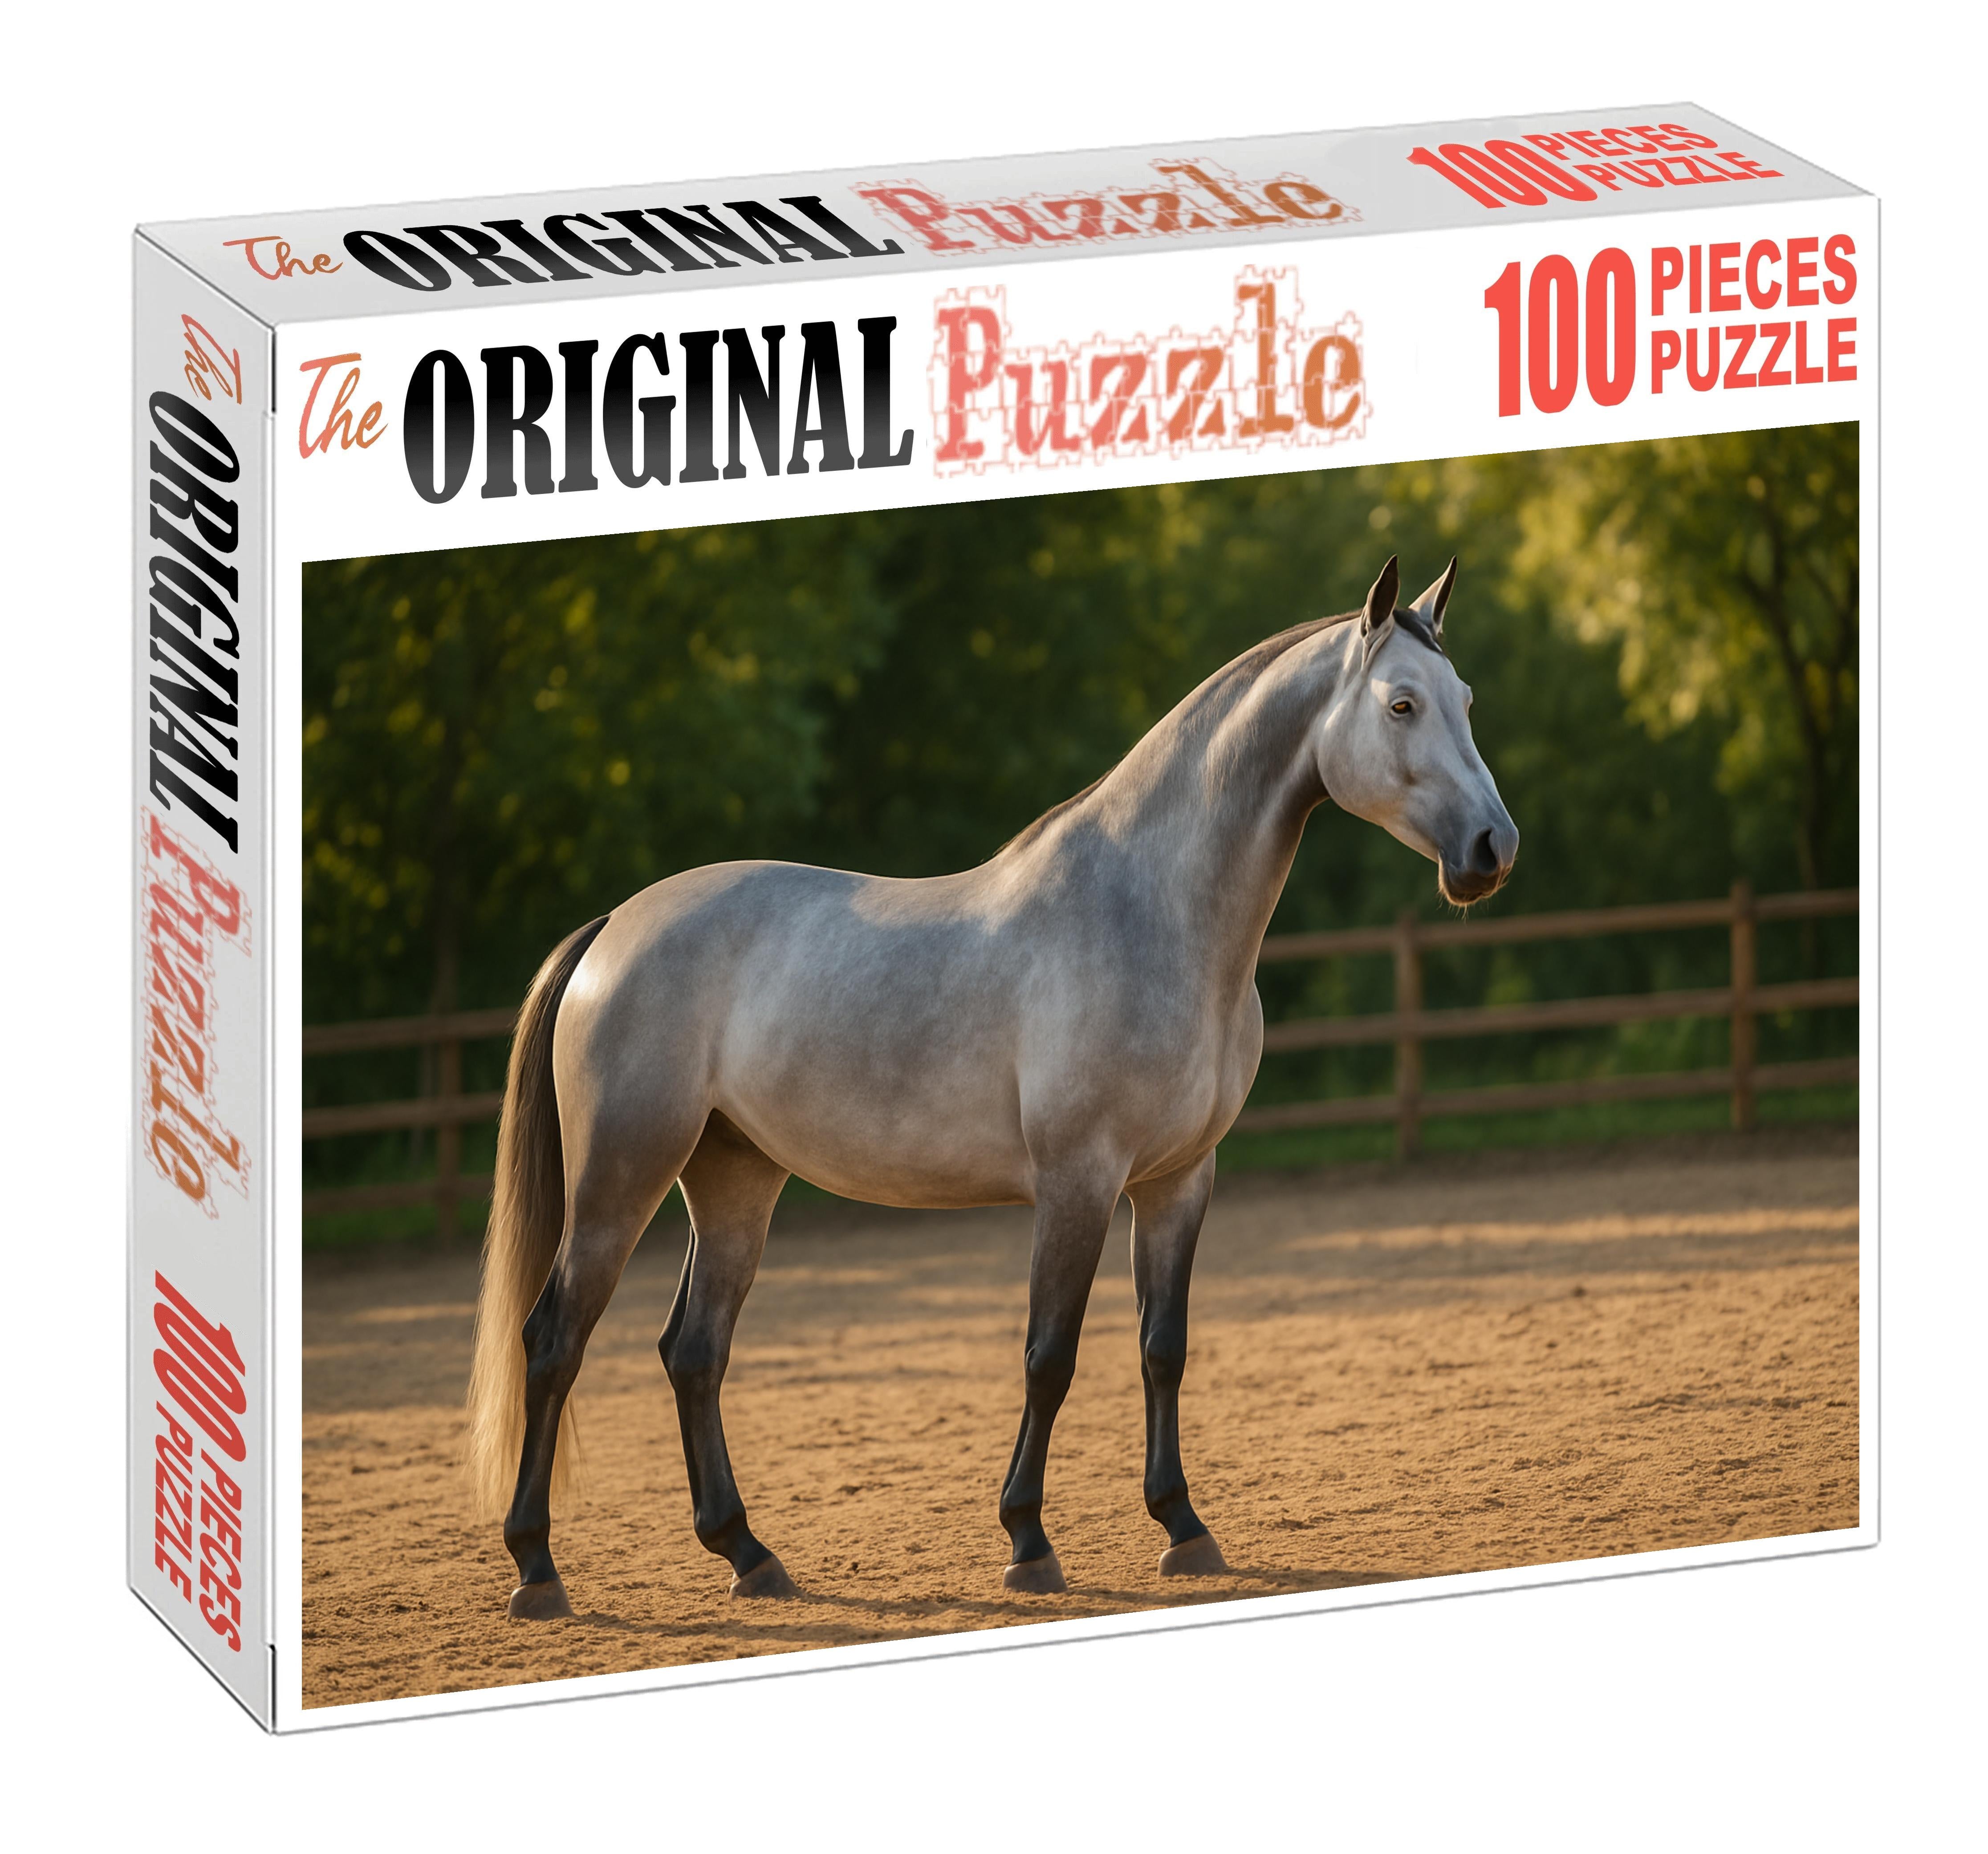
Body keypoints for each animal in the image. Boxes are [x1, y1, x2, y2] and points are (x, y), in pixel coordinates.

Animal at [465, 554, 1519, 1618]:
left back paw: (749, 1556)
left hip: (734, 1178)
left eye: (1469, 700)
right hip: (623, 1176)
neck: (1151, 914)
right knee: (554, 1340)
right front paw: (1028, 1542)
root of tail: (612, 927)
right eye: (1400, 704)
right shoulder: (1078, 1181)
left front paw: (1184, 1528)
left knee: (694, 1351)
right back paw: (537, 1569)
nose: (1492, 850)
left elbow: (1163, 1348)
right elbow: (1050, 1357)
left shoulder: (1179, 1182)